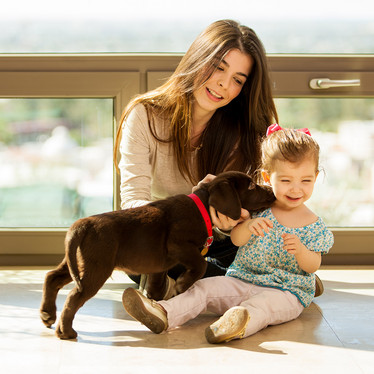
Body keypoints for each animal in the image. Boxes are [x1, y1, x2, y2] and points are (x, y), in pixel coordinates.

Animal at [40, 171, 274, 340]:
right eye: (251, 186)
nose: (272, 192)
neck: (203, 209)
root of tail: (83, 224)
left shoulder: (159, 266)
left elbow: (156, 285)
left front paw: (154, 302)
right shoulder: (177, 244)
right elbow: (199, 264)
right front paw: (182, 285)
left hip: (79, 263)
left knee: (51, 277)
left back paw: (47, 314)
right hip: (97, 268)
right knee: (73, 296)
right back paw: (65, 332)